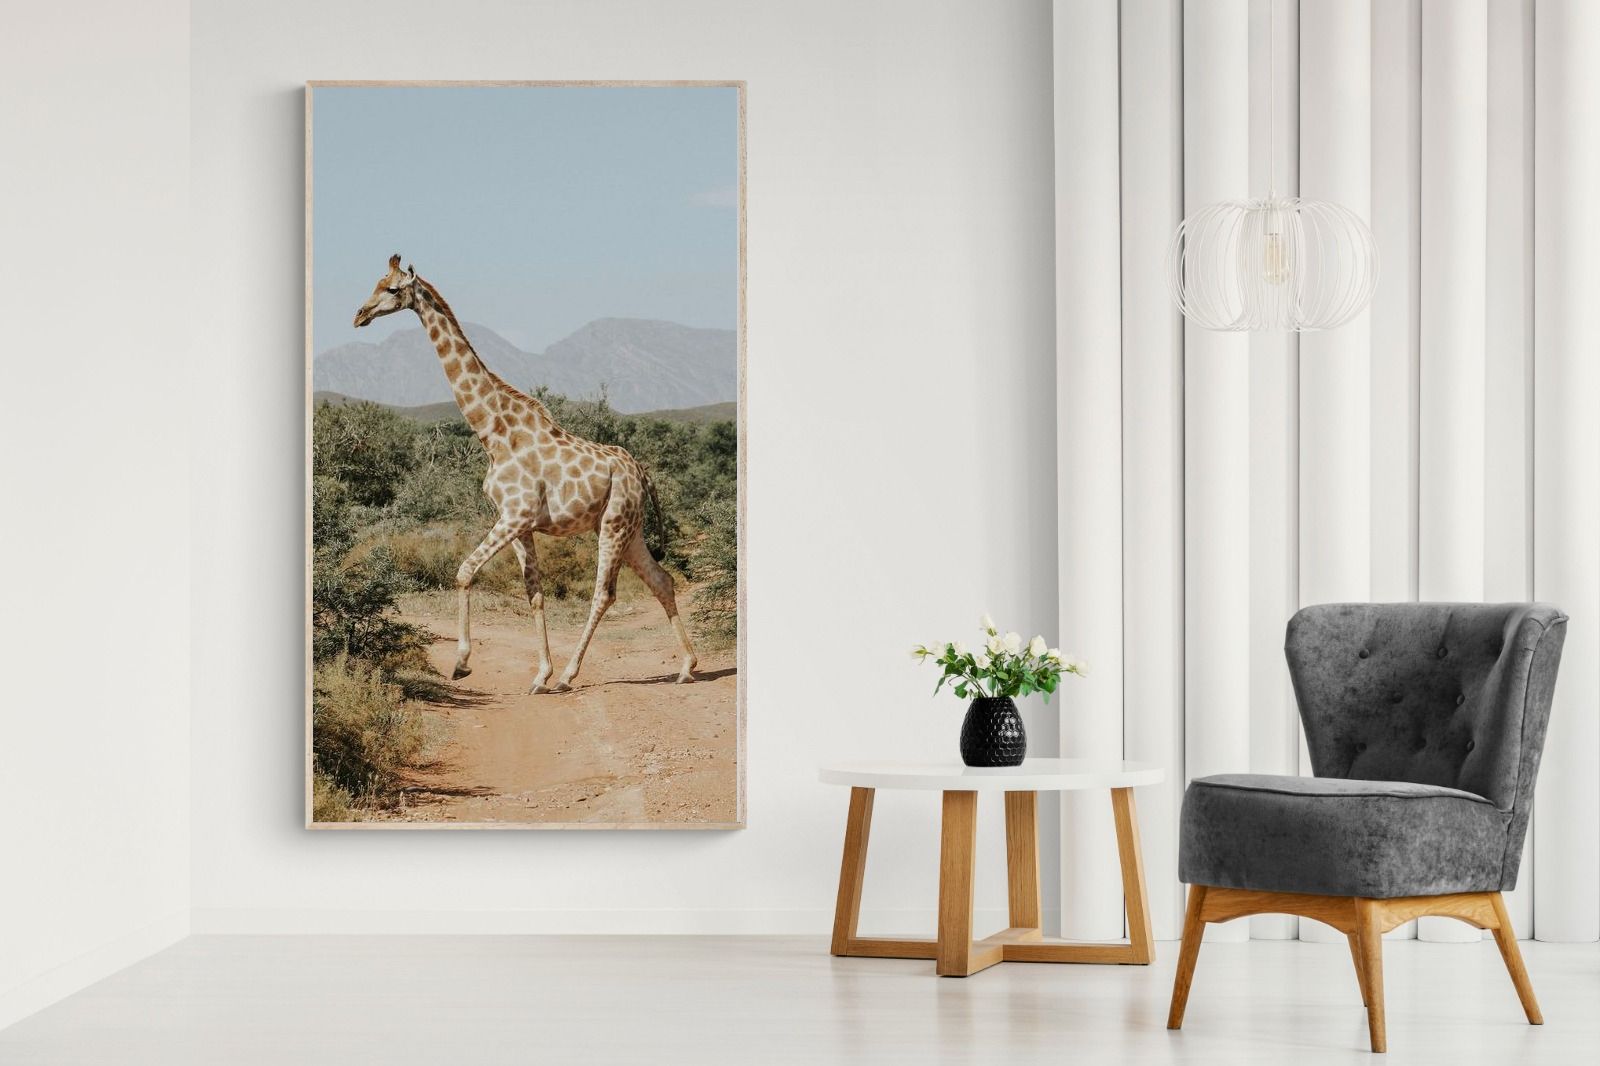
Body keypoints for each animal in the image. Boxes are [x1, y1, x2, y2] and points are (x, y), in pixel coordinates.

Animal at [352, 255, 698, 692]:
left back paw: (570, 675)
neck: (493, 433)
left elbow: (464, 571)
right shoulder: (519, 524)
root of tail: (641, 472)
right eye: (375, 283)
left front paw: (462, 663)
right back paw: (687, 666)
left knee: (604, 593)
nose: (359, 315)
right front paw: (539, 674)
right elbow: (534, 593)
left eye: (393, 289)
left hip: (614, 524)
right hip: (630, 528)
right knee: (662, 580)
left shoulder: (515, 516)